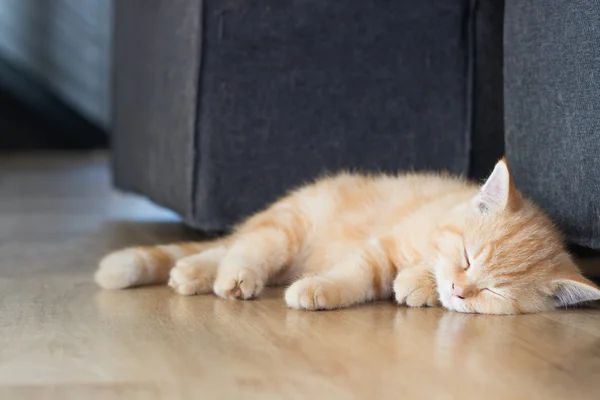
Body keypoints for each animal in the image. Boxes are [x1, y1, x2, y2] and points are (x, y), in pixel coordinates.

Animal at [94, 159, 600, 312]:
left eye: (492, 292)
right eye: (467, 256)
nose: (459, 289)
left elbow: (394, 281)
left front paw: (419, 285)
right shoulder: (385, 244)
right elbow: (359, 271)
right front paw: (320, 289)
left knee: (226, 248)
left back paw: (192, 273)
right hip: (289, 226)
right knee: (243, 247)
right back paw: (230, 278)